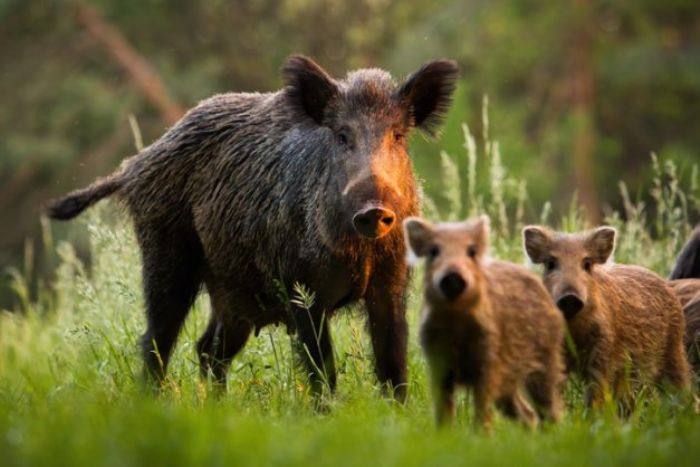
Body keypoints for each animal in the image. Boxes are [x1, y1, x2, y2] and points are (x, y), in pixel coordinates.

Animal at [46, 55, 459, 401]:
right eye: (342, 136)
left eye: (398, 136)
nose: (373, 209)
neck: (362, 252)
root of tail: (135, 164)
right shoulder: (302, 289)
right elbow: (321, 365)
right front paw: (327, 414)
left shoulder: (391, 285)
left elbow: (393, 362)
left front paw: (397, 414)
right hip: (165, 253)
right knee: (156, 340)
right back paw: (153, 403)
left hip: (232, 293)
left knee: (208, 349)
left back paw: (217, 407)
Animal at [404, 216, 566, 427]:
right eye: (433, 251)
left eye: (471, 251)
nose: (453, 276)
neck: (455, 320)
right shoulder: (438, 364)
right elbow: (444, 412)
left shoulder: (488, 363)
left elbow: (482, 410)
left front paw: (481, 433)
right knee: (527, 413)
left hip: (546, 362)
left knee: (550, 409)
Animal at [523, 225, 691, 409]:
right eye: (551, 264)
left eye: (587, 264)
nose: (570, 298)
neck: (575, 331)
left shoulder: (604, 351)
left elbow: (596, 393)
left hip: (673, 351)